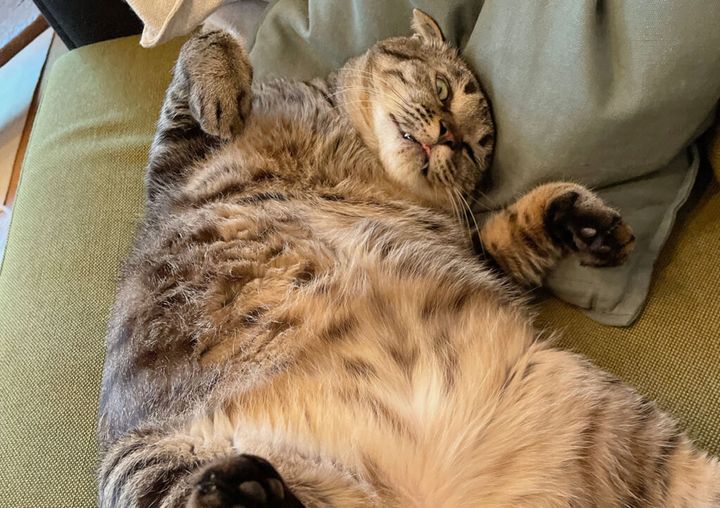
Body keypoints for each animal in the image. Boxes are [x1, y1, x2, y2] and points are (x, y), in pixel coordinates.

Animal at [97, 10, 719, 507]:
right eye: (443, 89)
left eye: (474, 147)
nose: (446, 135)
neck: (357, 154)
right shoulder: (174, 164)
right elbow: (201, 45)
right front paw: (226, 89)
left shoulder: (475, 251)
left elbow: (514, 228)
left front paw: (585, 223)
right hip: (141, 465)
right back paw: (243, 491)